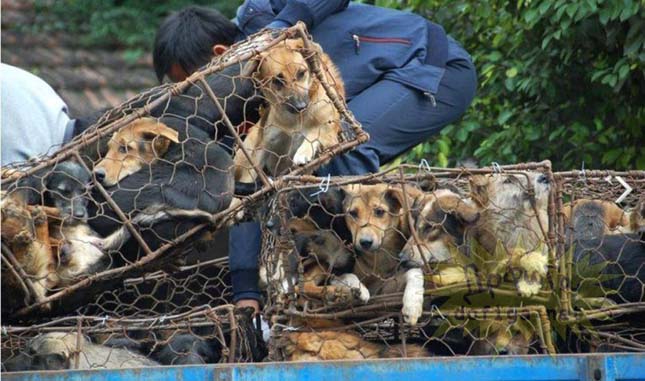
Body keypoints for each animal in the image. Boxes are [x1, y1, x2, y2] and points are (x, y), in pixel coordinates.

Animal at [234, 39, 344, 182]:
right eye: (277, 81)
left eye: (301, 73)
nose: (301, 106)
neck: (295, 120)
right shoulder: (266, 142)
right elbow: (253, 169)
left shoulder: (329, 131)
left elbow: (314, 132)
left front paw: (303, 152)